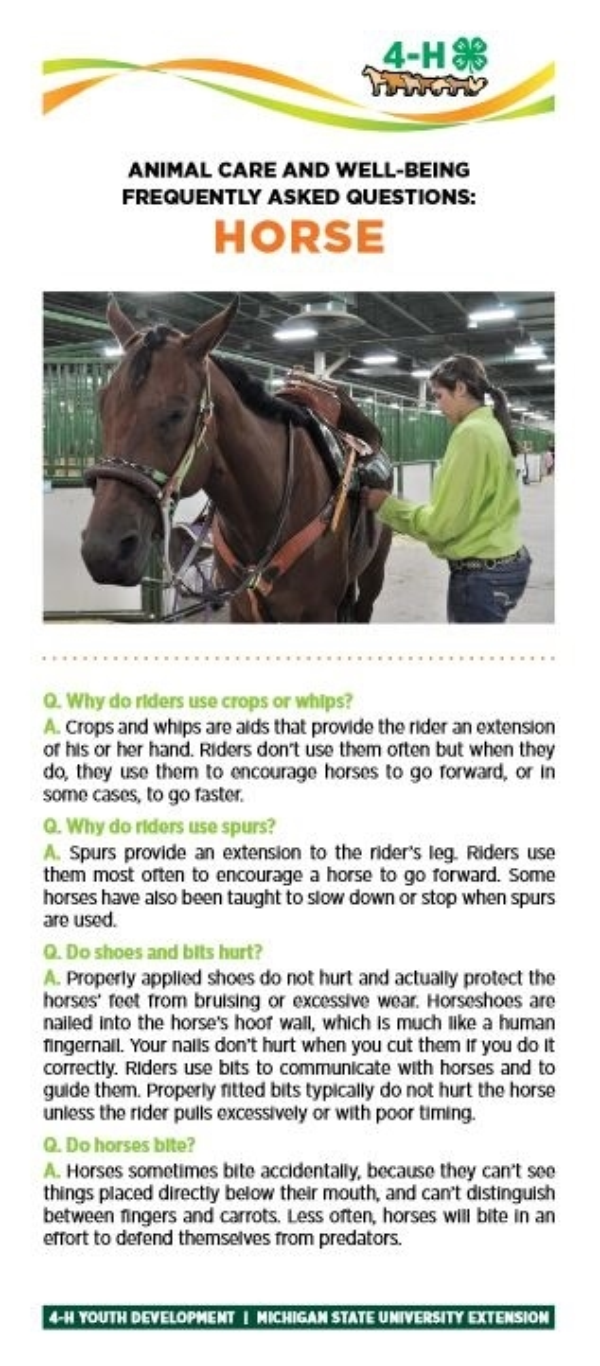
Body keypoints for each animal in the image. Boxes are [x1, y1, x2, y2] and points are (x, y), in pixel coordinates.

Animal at [81, 297, 392, 623]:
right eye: (102, 405)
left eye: (177, 413)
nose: (103, 551)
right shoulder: (243, 609)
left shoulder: (319, 613)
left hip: (373, 576)